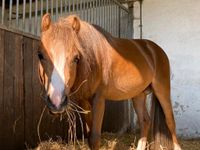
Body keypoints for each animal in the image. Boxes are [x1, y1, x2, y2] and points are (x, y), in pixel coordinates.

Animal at [37, 13, 181, 149]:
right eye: (40, 55)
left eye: (76, 58)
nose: (56, 102)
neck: (93, 58)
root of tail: (155, 50)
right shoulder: (85, 101)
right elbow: (89, 136)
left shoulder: (99, 99)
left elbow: (94, 138)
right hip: (138, 95)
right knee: (145, 121)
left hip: (162, 89)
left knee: (170, 121)